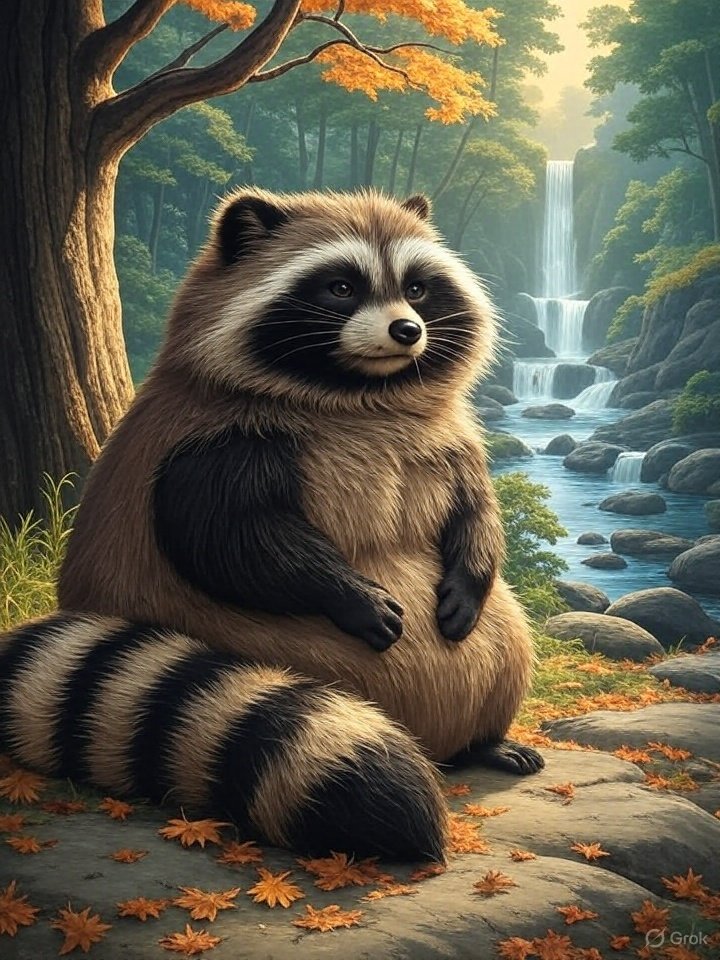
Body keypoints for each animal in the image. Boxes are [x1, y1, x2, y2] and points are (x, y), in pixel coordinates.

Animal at [0, 188, 542, 861]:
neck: (361, 392)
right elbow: (230, 542)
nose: (407, 330)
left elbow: (475, 511)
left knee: (506, 631)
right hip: (274, 648)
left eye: (416, 289)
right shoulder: (209, 444)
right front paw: (350, 593)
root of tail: (435, 750)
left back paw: (484, 741)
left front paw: (470, 577)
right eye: (341, 287)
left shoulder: (453, 438)